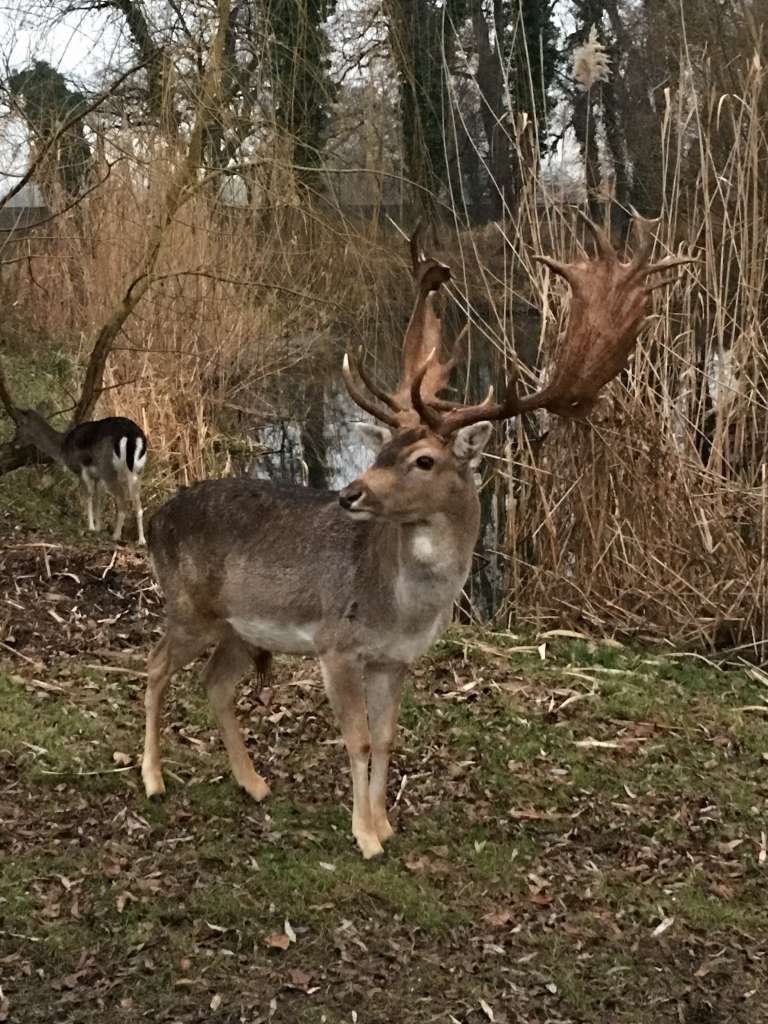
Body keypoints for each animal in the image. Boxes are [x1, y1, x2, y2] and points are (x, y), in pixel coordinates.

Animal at [141, 222, 688, 856]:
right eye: (383, 452)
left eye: (422, 459)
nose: (349, 493)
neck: (402, 608)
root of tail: (153, 517)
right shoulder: (336, 643)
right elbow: (356, 739)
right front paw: (364, 837)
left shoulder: (395, 659)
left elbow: (386, 738)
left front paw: (384, 823)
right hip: (188, 605)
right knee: (155, 665)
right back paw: (153, 778)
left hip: (239, 625)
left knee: (214, 682)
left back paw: (253, 783)